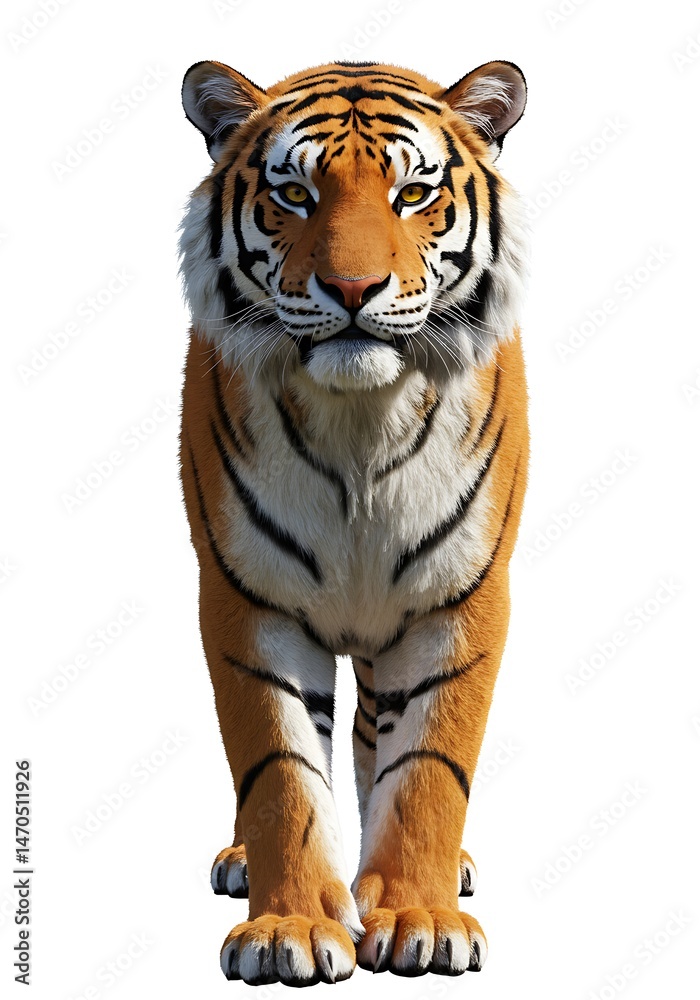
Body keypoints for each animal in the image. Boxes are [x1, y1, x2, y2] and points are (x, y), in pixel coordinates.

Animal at [179, 57, 529, 986]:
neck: (360, 421)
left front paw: (417, 916)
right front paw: (291, 929)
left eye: (413, 194)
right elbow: (280, 776)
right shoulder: (247, 603)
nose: (350, 289)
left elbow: (427, 769)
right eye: (295, 194)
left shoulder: (459, 601)